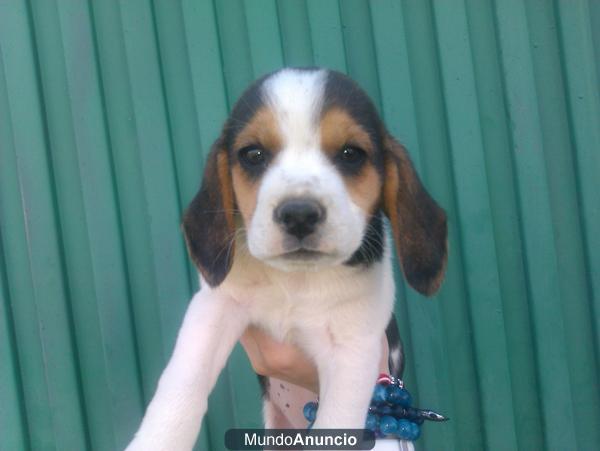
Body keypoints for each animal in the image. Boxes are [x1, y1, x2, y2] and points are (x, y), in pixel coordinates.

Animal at [127, 68, 446, 451]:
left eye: (351, 154)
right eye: (253, 154)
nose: (299, 215)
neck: (295, 279)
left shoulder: (352, 351)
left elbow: (335, 422)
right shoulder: (216, 306)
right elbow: (183, 381)